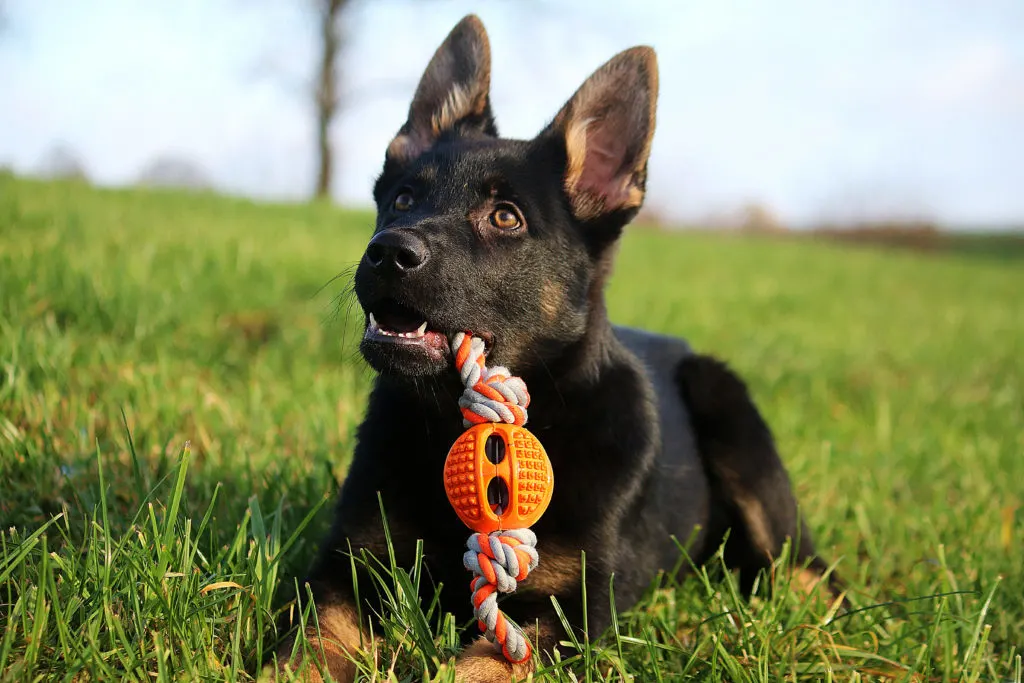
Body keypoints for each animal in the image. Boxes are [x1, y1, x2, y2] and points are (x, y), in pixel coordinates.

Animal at [274, 13, 839, 679]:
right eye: (403, 199)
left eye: (506, 217)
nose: (387, 252)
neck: (455, 423)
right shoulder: (351, 564)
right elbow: (313, 641)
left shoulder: (569, 609)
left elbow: (483, 664)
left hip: (727, 409)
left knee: (807, 568)